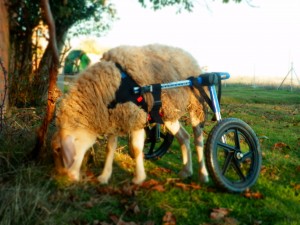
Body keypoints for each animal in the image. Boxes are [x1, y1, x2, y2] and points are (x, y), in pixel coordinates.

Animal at [51, 43, 209, 185]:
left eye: (59, 150)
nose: (64, 177)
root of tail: (188, 54)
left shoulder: (136, 116)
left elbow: (137, 148)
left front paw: (139, 178)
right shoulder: (115, 118)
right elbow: (110, 148)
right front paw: (104, 176)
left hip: (196, 104)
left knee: (198, 138)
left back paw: (203, 175)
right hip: (167, 112)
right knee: (184, 137)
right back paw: (186, 171)